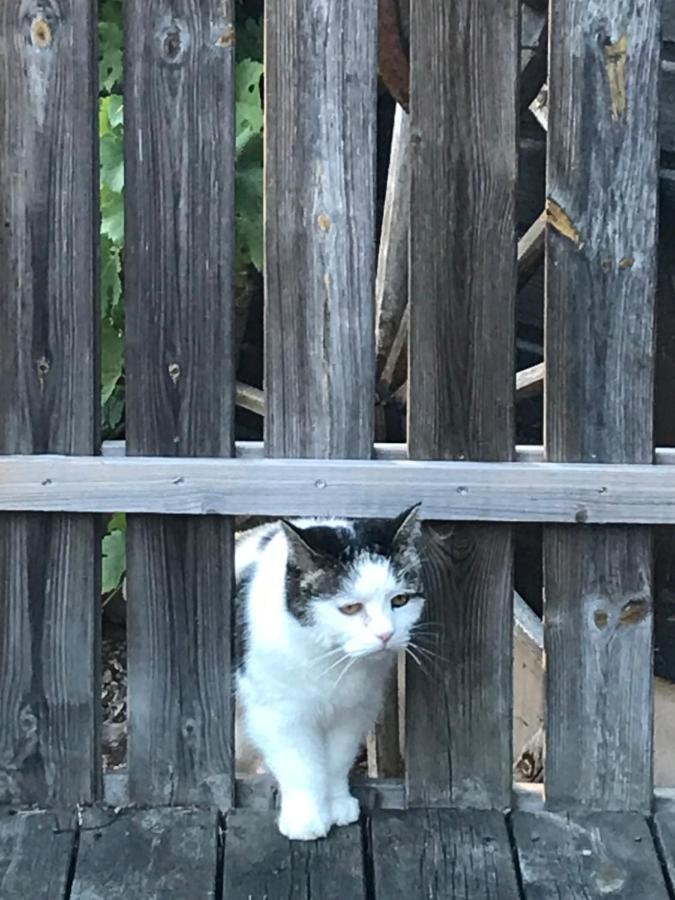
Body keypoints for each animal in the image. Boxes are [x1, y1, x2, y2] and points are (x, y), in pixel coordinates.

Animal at [235, 502, 426, 840]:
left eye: (400, 600)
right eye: (350, 608)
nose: (386, 634)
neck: (331, 660)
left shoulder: (353, 711)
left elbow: (336, 760)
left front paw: (337, 804)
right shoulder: (279, 714)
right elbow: (300, 764)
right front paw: (306, 819)